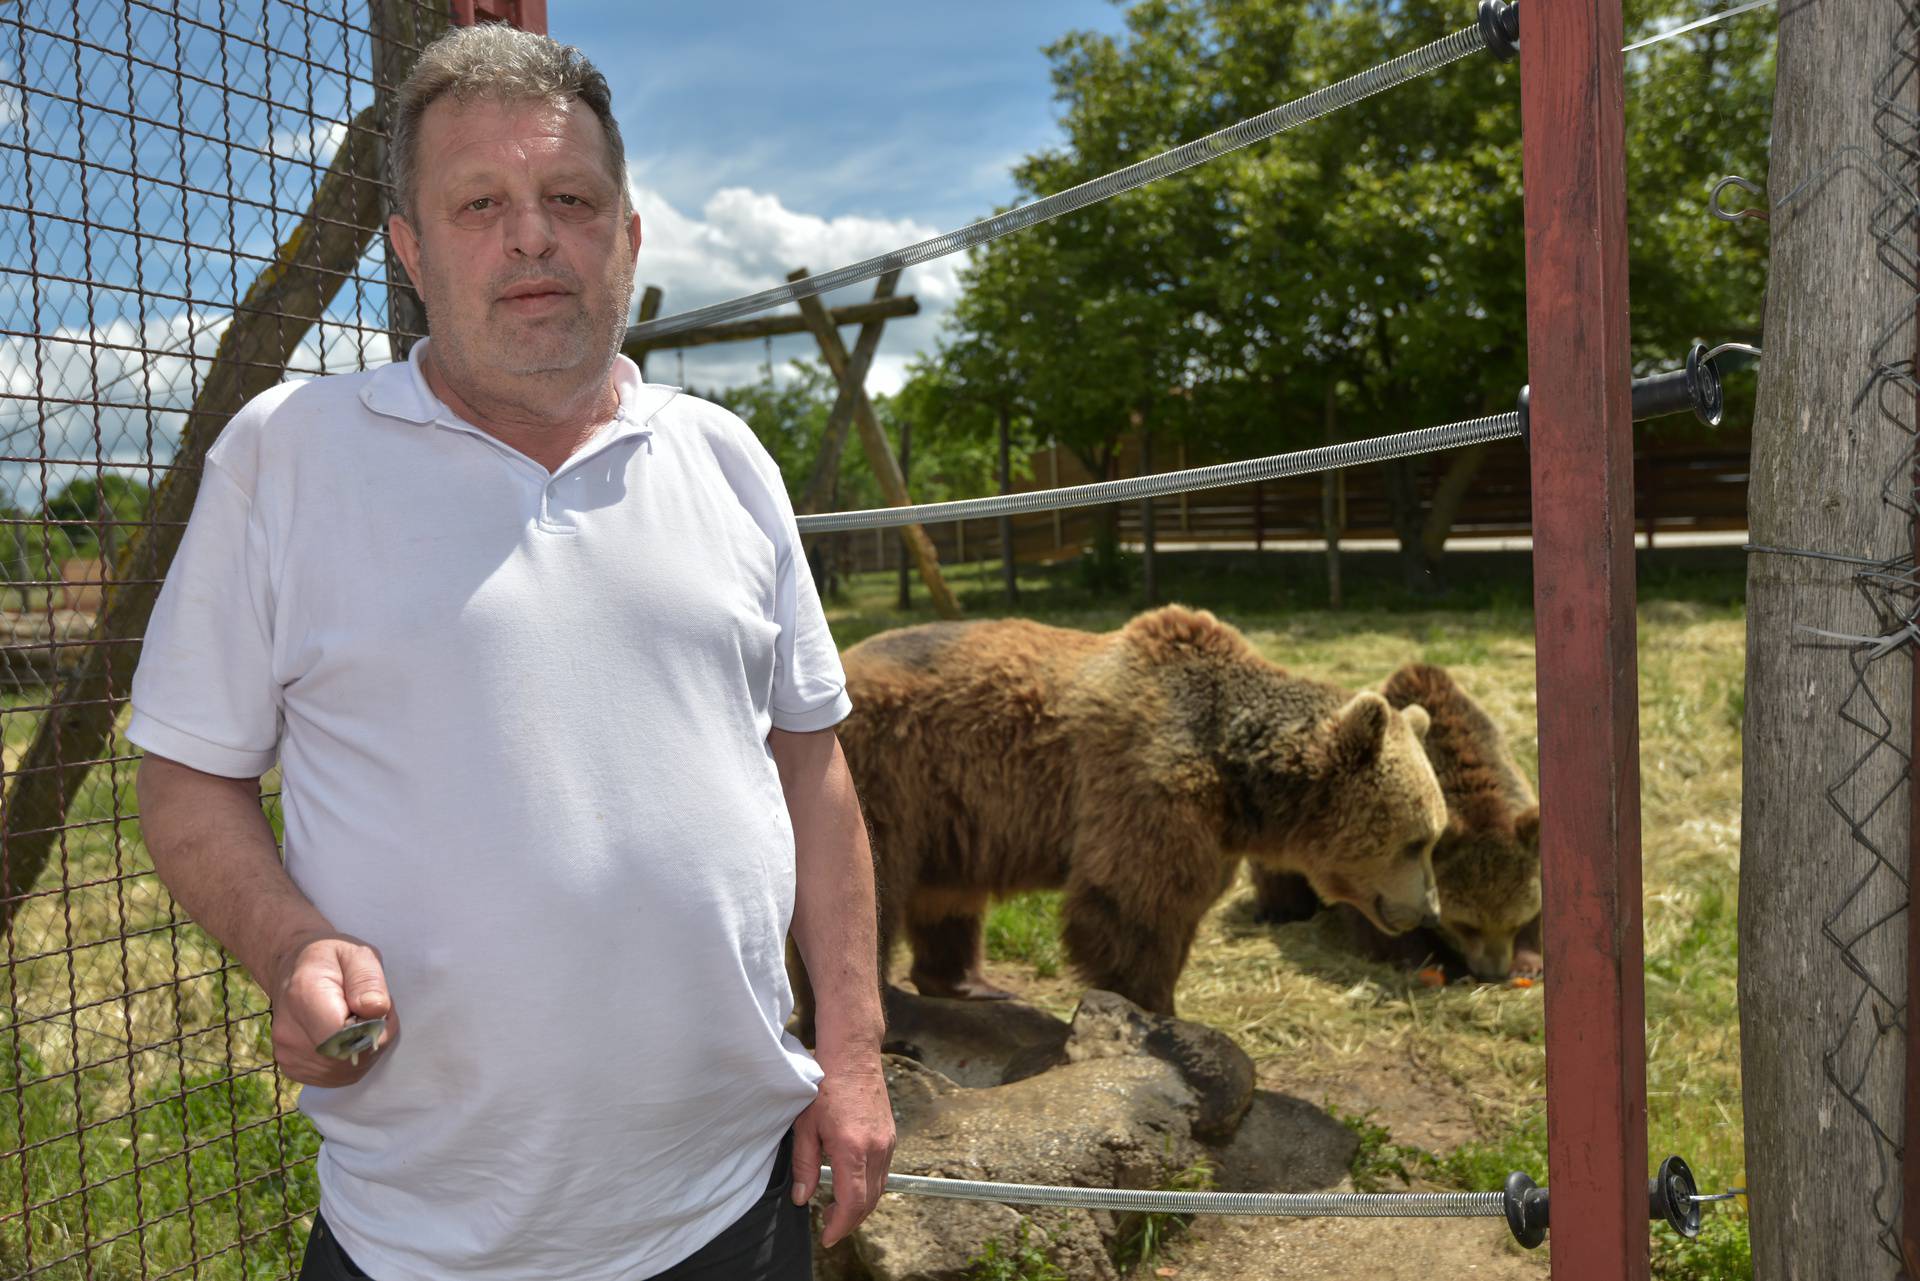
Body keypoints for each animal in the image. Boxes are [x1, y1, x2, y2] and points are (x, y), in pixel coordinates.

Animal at [817, 603, 1443, 1021]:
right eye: (1416, 840)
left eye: (1436, 835)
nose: (1426, 910)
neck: (1235, 771)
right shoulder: (1148, 780)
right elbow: (1134, 900)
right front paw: (1153, 1007)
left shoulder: (1212, 825)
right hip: (884, 771)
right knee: (872, 885)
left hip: (949, 804)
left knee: (946, 892)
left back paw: (968, 982)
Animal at [1244, 660, 1543, 983]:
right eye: (1466, 925)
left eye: (1515, 923)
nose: (1492, 973)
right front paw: (1435, 963)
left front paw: (1527, 962)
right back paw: (1279, 911)